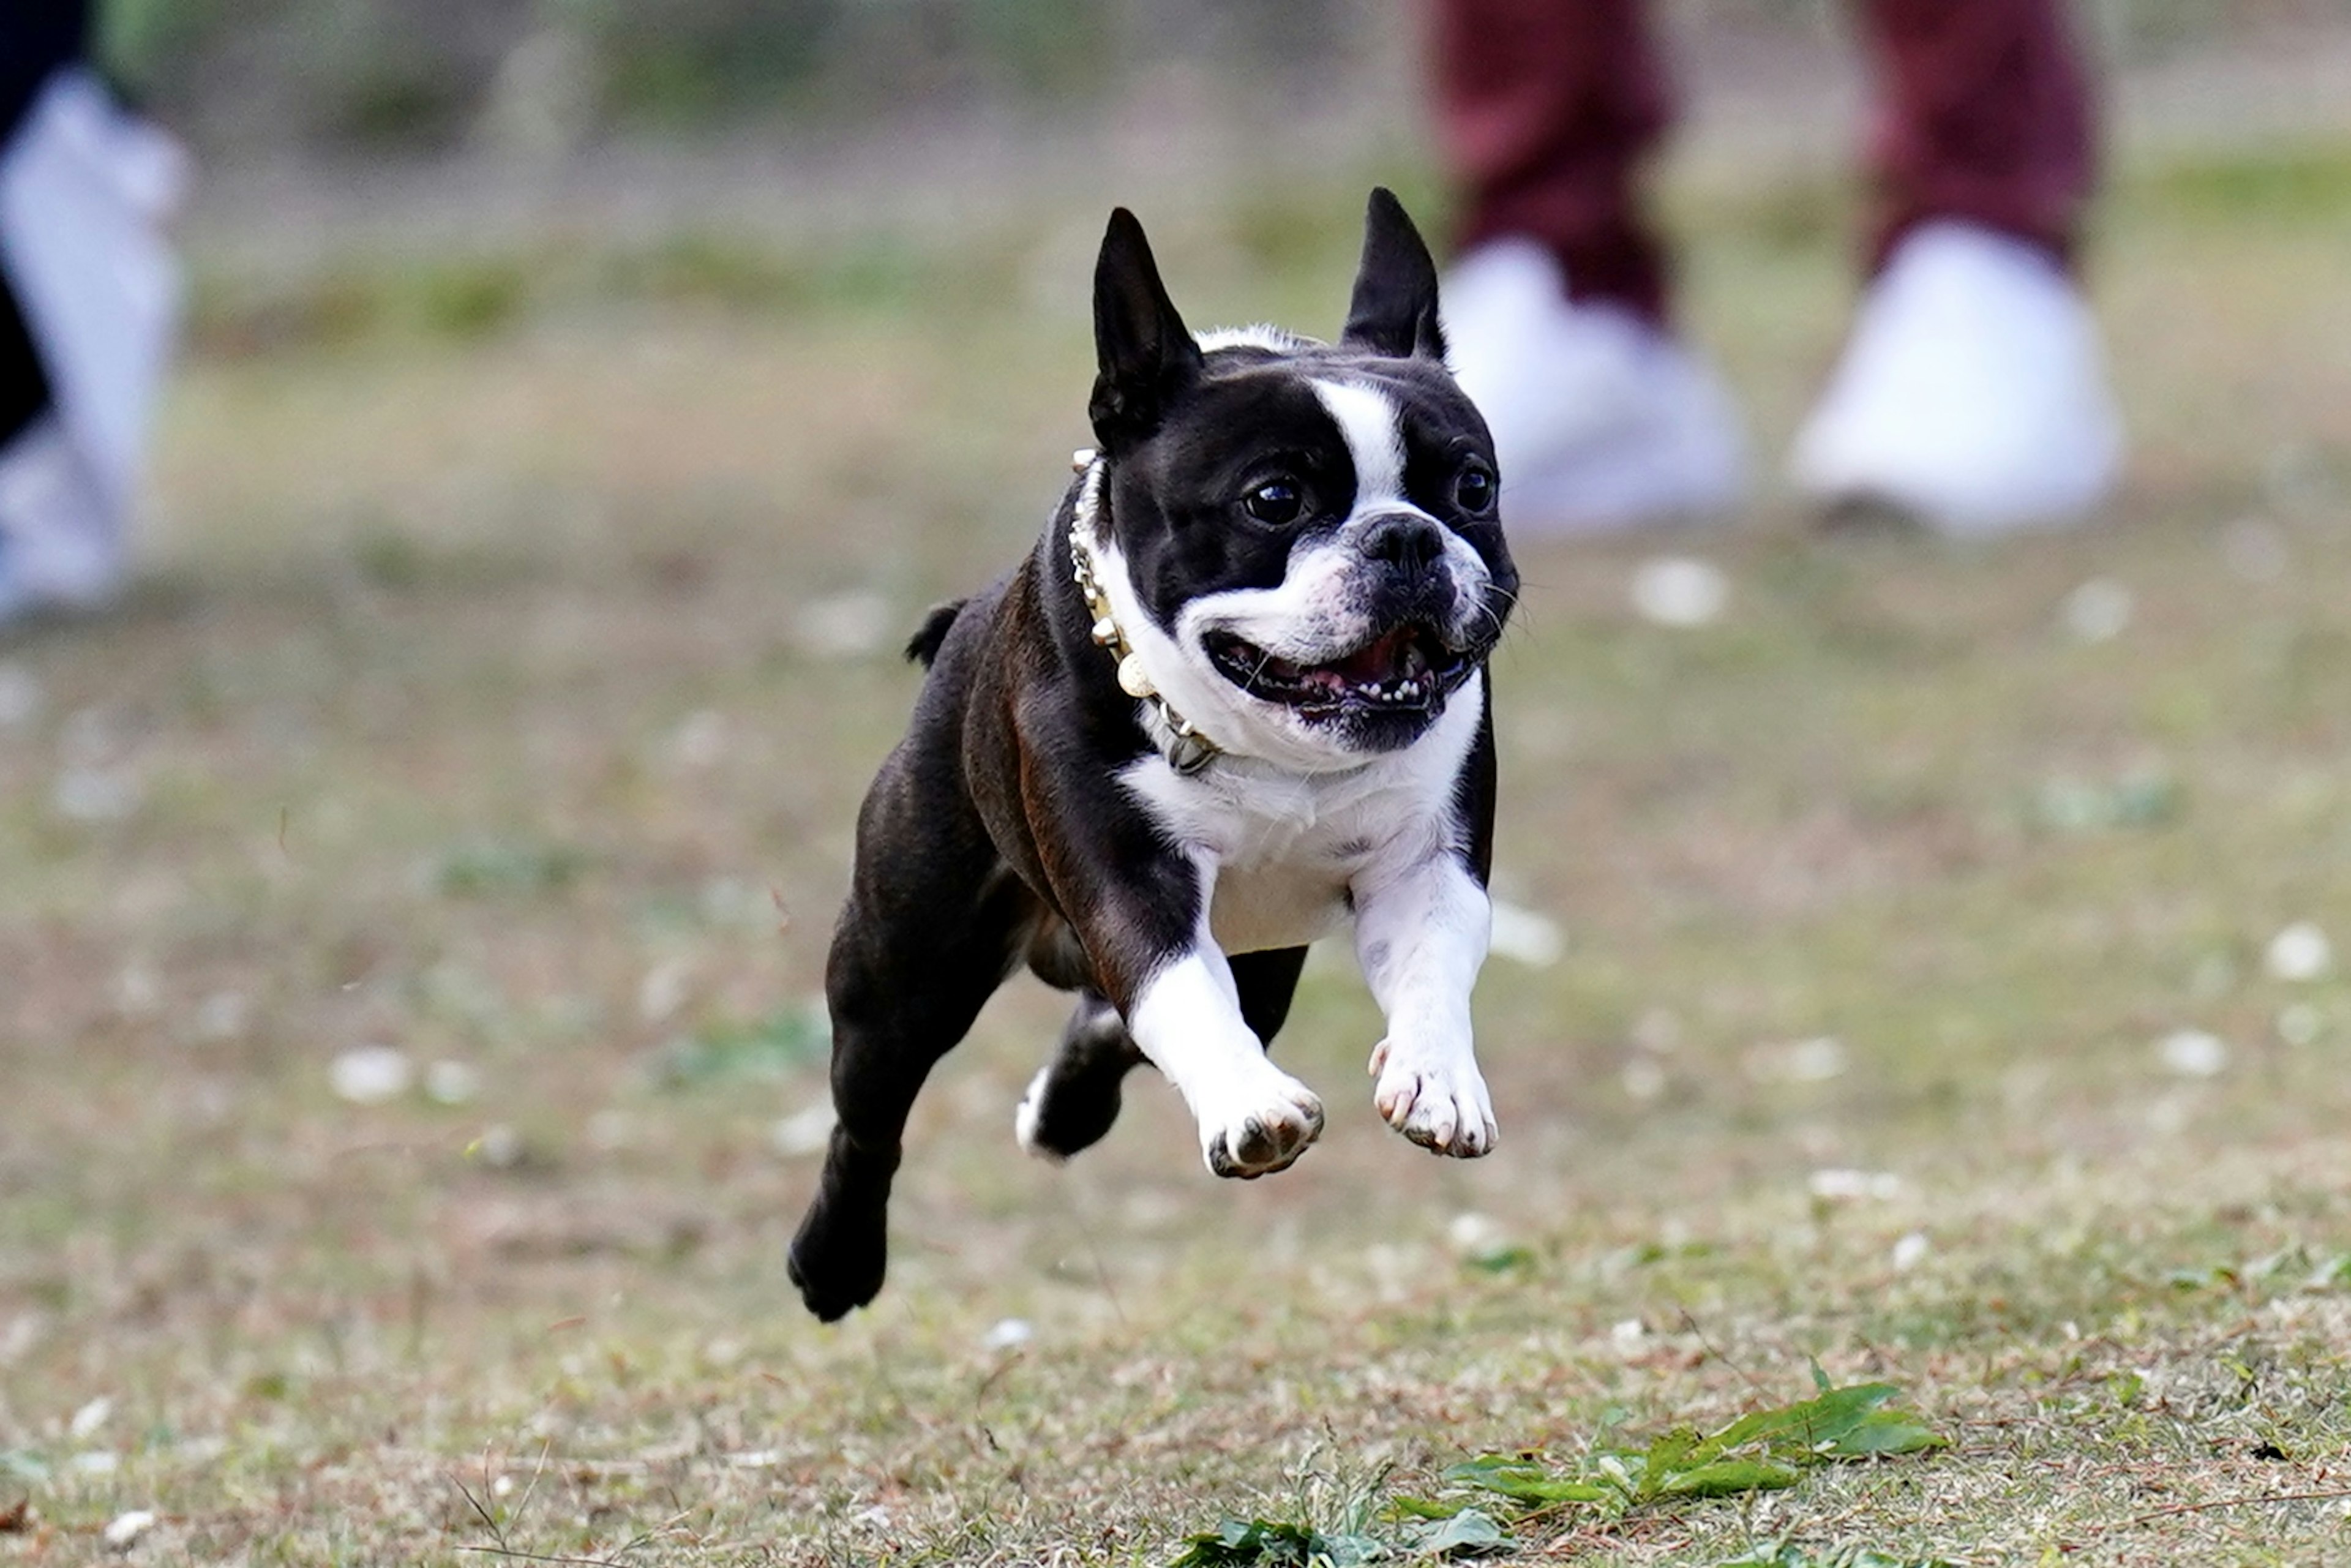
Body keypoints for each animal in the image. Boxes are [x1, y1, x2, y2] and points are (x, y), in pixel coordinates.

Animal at [790, 192, 1523, 1326]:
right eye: (1275, 500)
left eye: (1474, 486)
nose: (1405, 537)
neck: (1270, 746)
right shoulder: (1130, 886)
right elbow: (1177, 987)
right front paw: (1252, 1107)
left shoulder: (1427, 866)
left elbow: (1434, 965)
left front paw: (1439, 1079)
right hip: (902, 968)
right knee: (870, 1117)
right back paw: (834, 1263)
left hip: (1259, 959)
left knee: (1121, 1021)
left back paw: (1064, 1110)